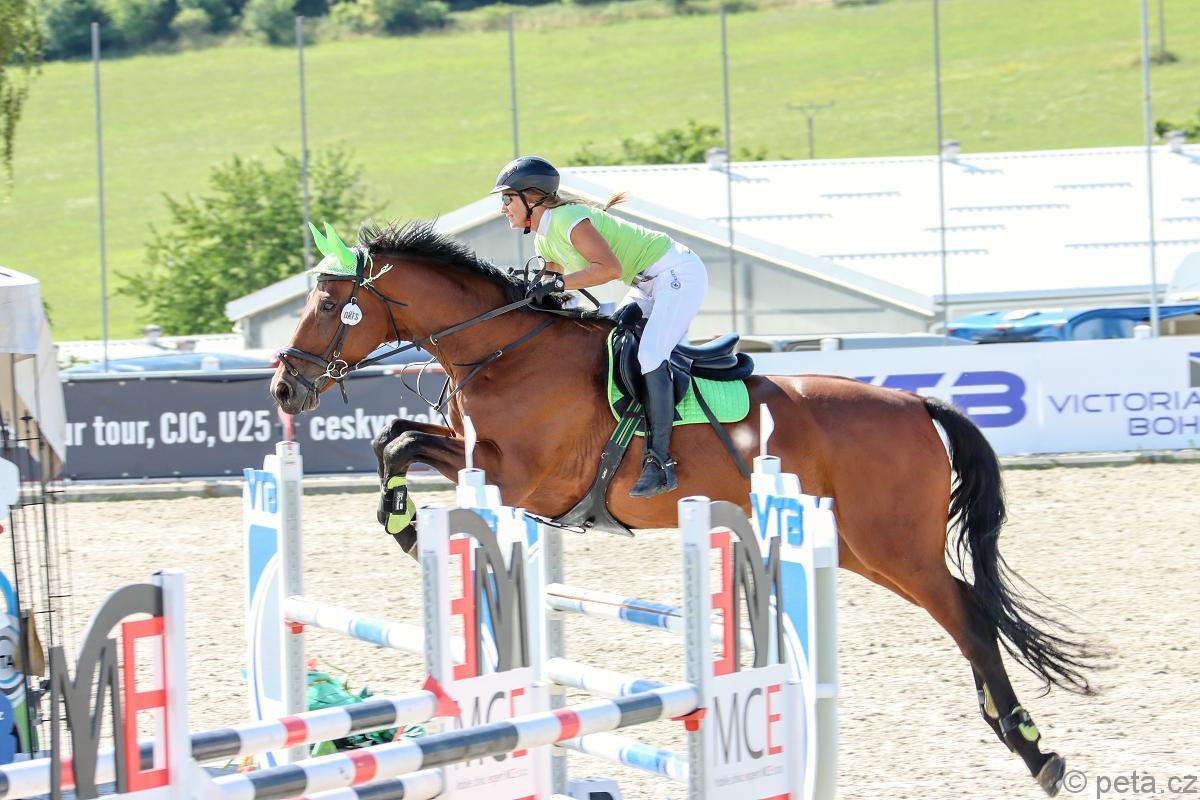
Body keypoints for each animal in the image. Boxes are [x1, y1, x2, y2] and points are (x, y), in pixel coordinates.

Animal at [270, 220, 1094, 796]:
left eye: (329, 303)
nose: (284, 387)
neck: (503, 350)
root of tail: (917, 403)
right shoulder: (489, 463)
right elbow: (393, 436)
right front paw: (401, 522)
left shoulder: (519, 479)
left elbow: (402, 443)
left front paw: (409, 529)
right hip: (863, 549)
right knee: (968, 611)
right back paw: (1018, 736)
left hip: (892, 547)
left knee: (969, 616)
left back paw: (1033, 748)